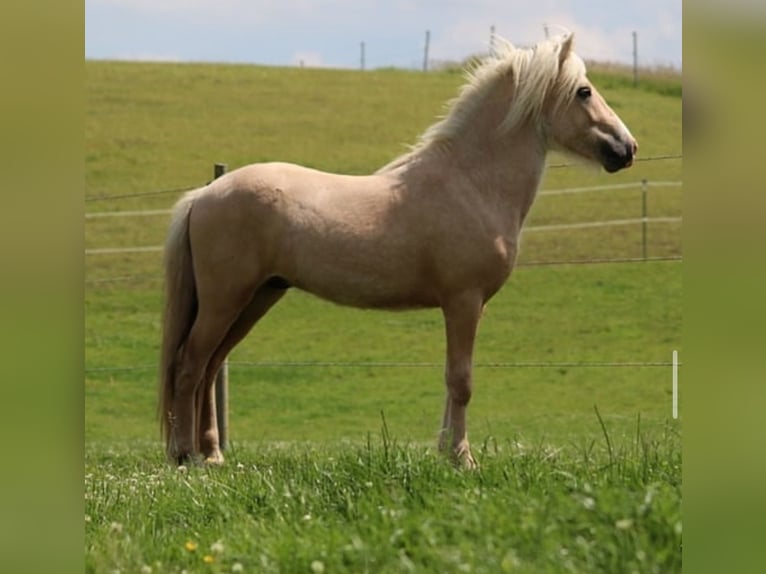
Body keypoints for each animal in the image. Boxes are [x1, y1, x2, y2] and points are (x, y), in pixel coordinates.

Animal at [159, 33, 637, 468]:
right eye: (584, 91)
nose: (626, 148)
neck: (470, 181)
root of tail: (204, 196)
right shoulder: (463, 301)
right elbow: (461, 380)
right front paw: (462, 459)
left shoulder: (470, 307)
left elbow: (451, 383)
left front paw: (446, 452)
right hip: (226, 300)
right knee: (189, 364)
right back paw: (185, 456)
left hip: (257, 297)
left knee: (209, 366)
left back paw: (213, 455)